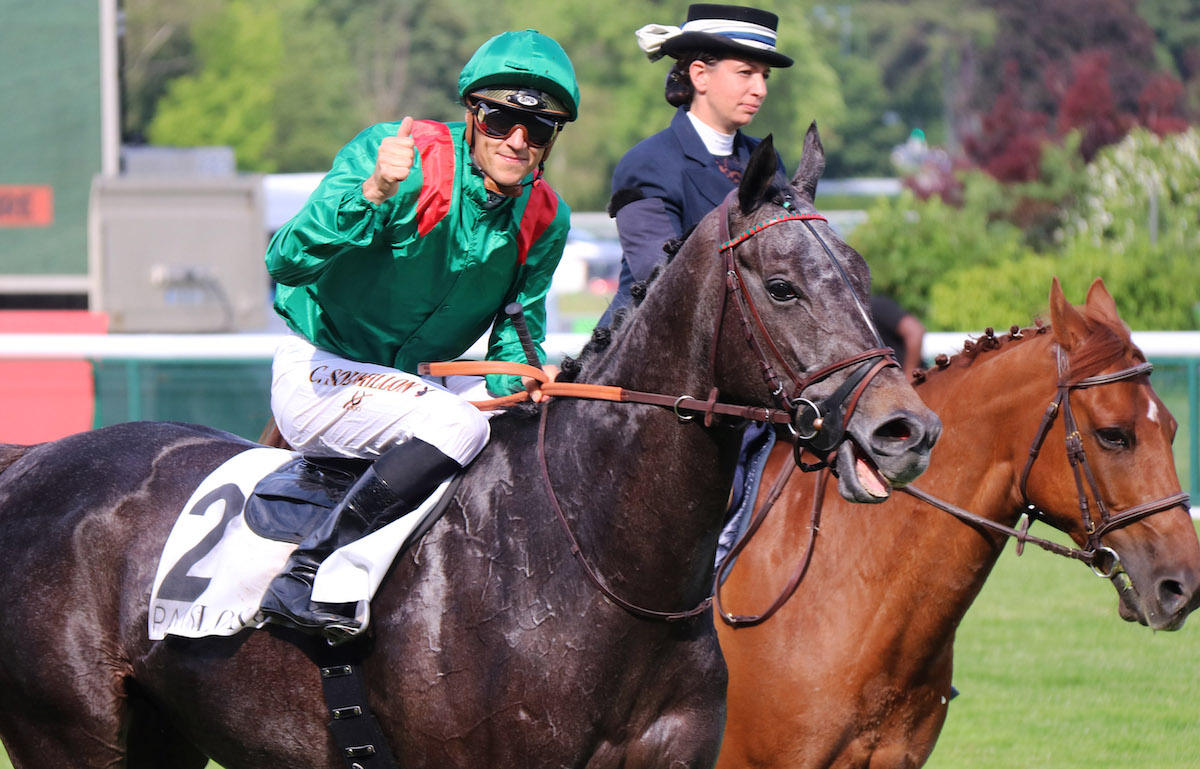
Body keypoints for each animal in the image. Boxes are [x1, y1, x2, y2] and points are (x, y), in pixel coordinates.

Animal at [0, 125, 940, 767]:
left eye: (861, 277)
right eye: (781, 287)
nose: (906, 429)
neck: (599, 558)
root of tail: (35, 459)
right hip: (68, 734)